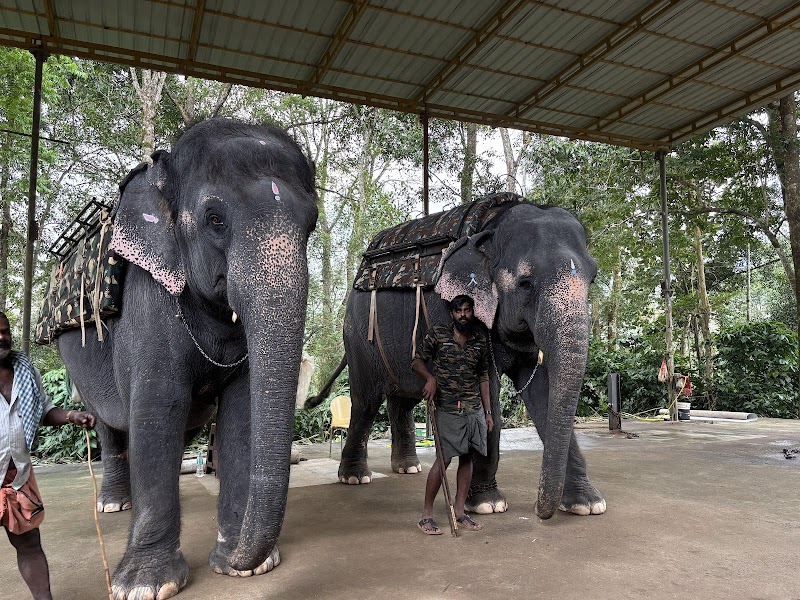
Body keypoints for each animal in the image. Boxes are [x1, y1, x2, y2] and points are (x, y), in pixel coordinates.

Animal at [58, 119, 318, 599]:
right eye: (214, 219)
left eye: (311, 225)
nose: (241, 556)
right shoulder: (149, 296)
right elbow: (160, 406)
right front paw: (144, 586)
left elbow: (240, 412)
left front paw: (242, 566)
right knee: (110, 423)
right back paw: (114, 505)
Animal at [308, 199, 606, 520]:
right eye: (525, 283)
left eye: (593, 278)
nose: (539, 510)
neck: (493, 227)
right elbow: (489, 395)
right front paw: (488, 504)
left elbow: (543, 391)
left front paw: (587, 505)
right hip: (359, 339)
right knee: (365, 402)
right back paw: (355, 477)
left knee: (402, 400)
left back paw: (407, 468)